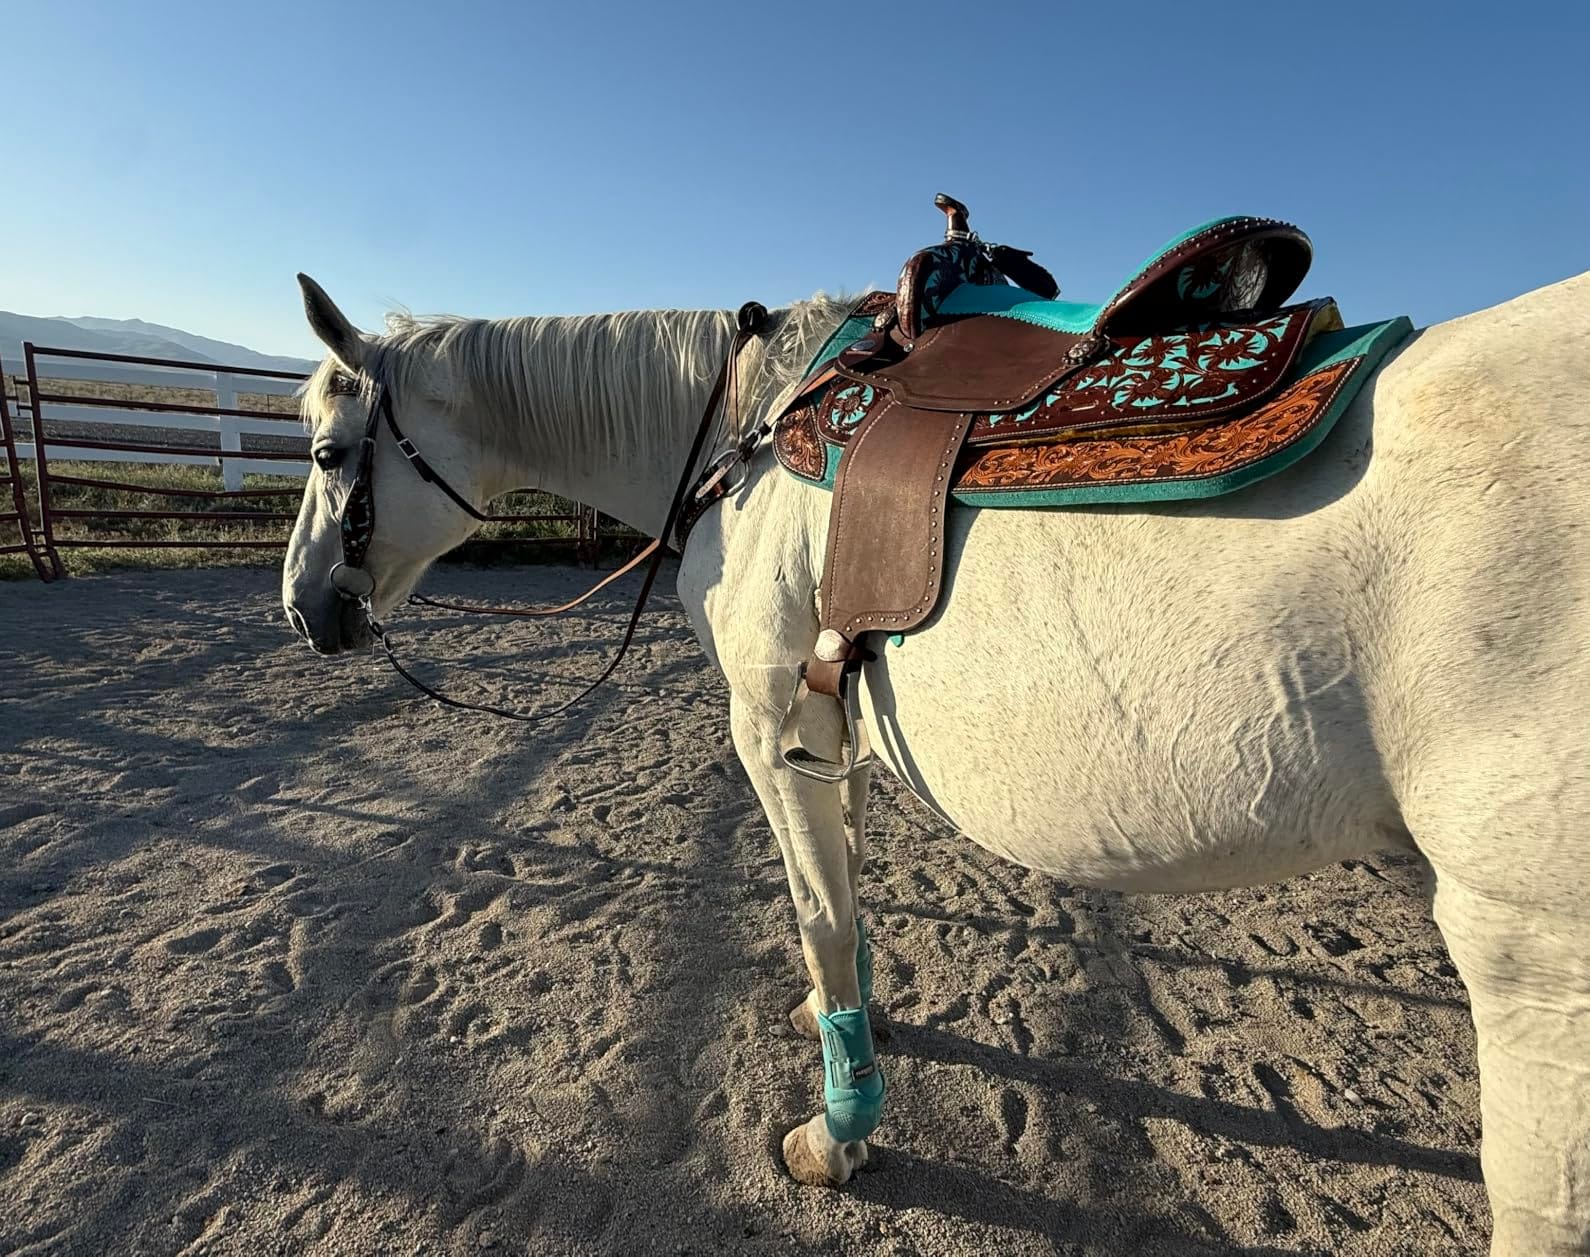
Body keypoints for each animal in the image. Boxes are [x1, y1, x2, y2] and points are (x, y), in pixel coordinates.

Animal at [281, 267, 1590, 1256]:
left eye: (334, 452)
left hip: (1530, 961)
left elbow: (819, 912)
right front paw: (844, 1027)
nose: (306, 610)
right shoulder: (833, 734)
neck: (753, 439)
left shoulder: (769, 733)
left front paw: (839, 1133)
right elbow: (845, 900)